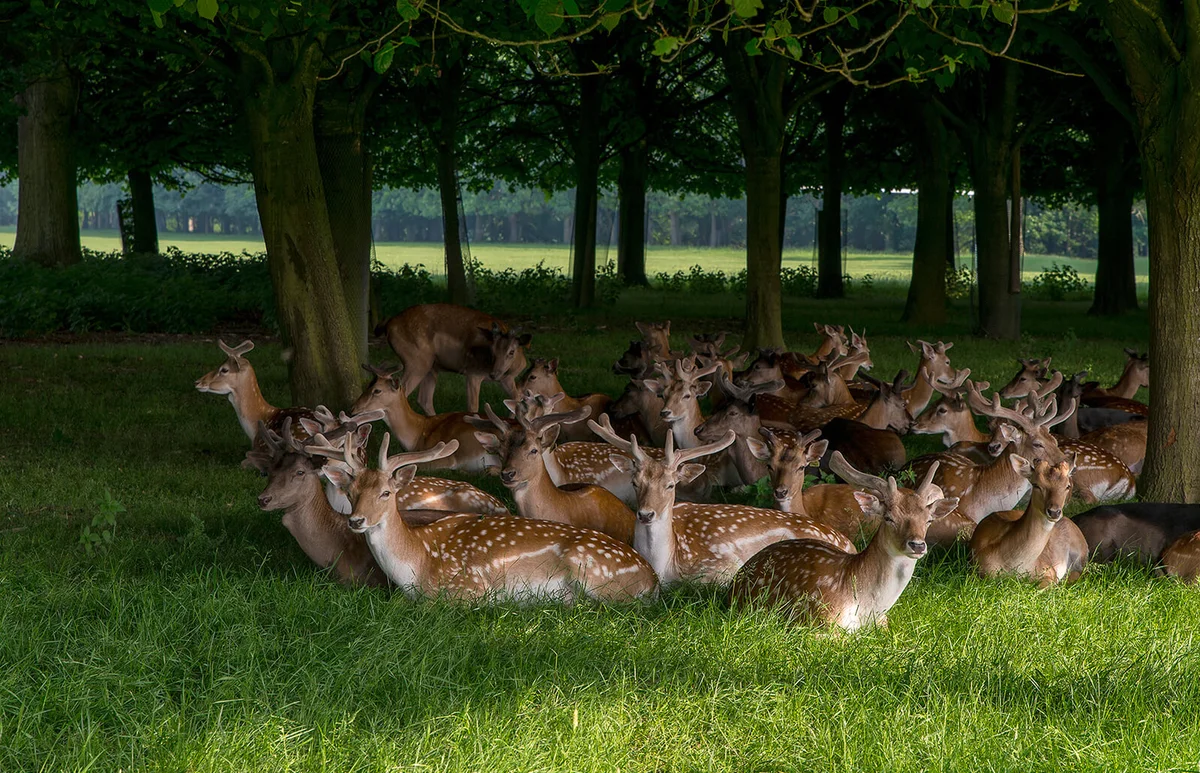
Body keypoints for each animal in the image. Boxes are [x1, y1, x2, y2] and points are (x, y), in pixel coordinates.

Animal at [317, 433, 658, 603]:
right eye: (350, 491)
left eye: (386, 492)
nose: (356, 520)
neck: (418, 560)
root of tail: (651, 579)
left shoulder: (469, 588)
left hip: (591, 570)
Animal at [375, 303, 531, 414]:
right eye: (492, 350)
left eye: (511, 351)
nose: (494, 374)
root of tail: (388, 326)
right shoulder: (473, 373)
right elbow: (473, 407)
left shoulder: (507, 379)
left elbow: (517, 397)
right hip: (416, 361)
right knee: (404, 392)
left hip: (431, 367)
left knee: (424, 400)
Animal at [589, 416, 855, 587]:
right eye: (635, 482)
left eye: (671, 484)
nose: (646, 514)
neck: (666, 564)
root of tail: (848, 544)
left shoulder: (721, 564)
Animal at [729, 452, 959, 631]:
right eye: (888, 517)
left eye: (928, 520)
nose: (917, 545)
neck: (868, 607)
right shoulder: (819, 620)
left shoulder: (884, 621)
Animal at [969, 455, 1088, 586]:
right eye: (1036, 485)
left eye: (1067, 486)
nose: (1054, 512)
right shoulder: (983, 569)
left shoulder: (1049, 570)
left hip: (1081, 550)